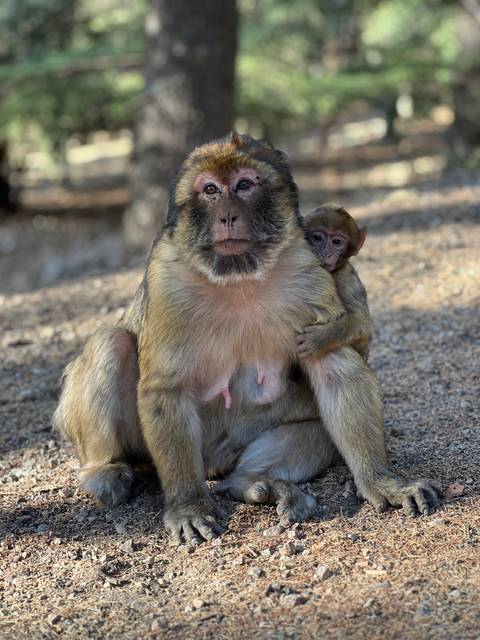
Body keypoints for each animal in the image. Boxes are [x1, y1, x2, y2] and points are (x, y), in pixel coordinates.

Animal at [296, 203, 373, 361]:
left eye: (337, 242)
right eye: (317, 238)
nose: (326, 253)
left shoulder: (345, 280)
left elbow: (362, 323)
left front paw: (317, 340)